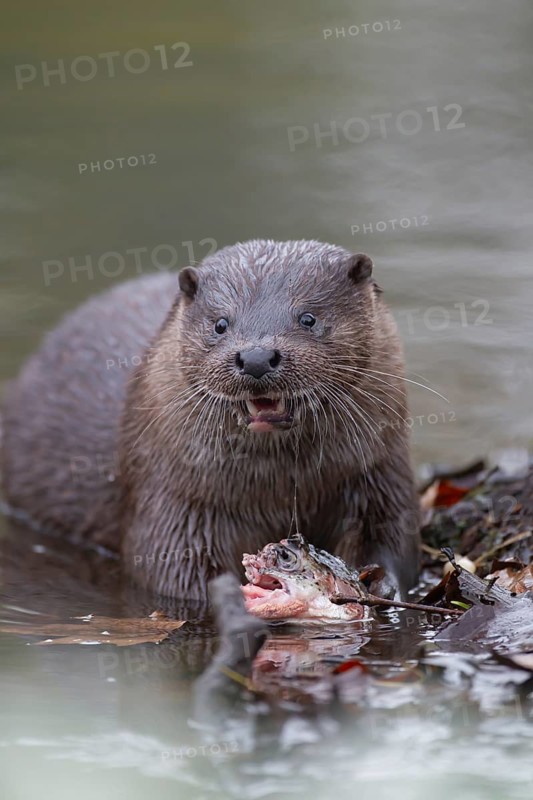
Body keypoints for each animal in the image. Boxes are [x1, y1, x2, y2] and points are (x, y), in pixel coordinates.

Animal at [1, 240, 420, 599]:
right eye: (220, 323)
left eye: (308, 318)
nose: (256, 356)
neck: (279, 490)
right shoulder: (173, 502)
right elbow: (173, 574)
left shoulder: (380, 475)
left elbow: (393, 540)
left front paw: (384, 585)